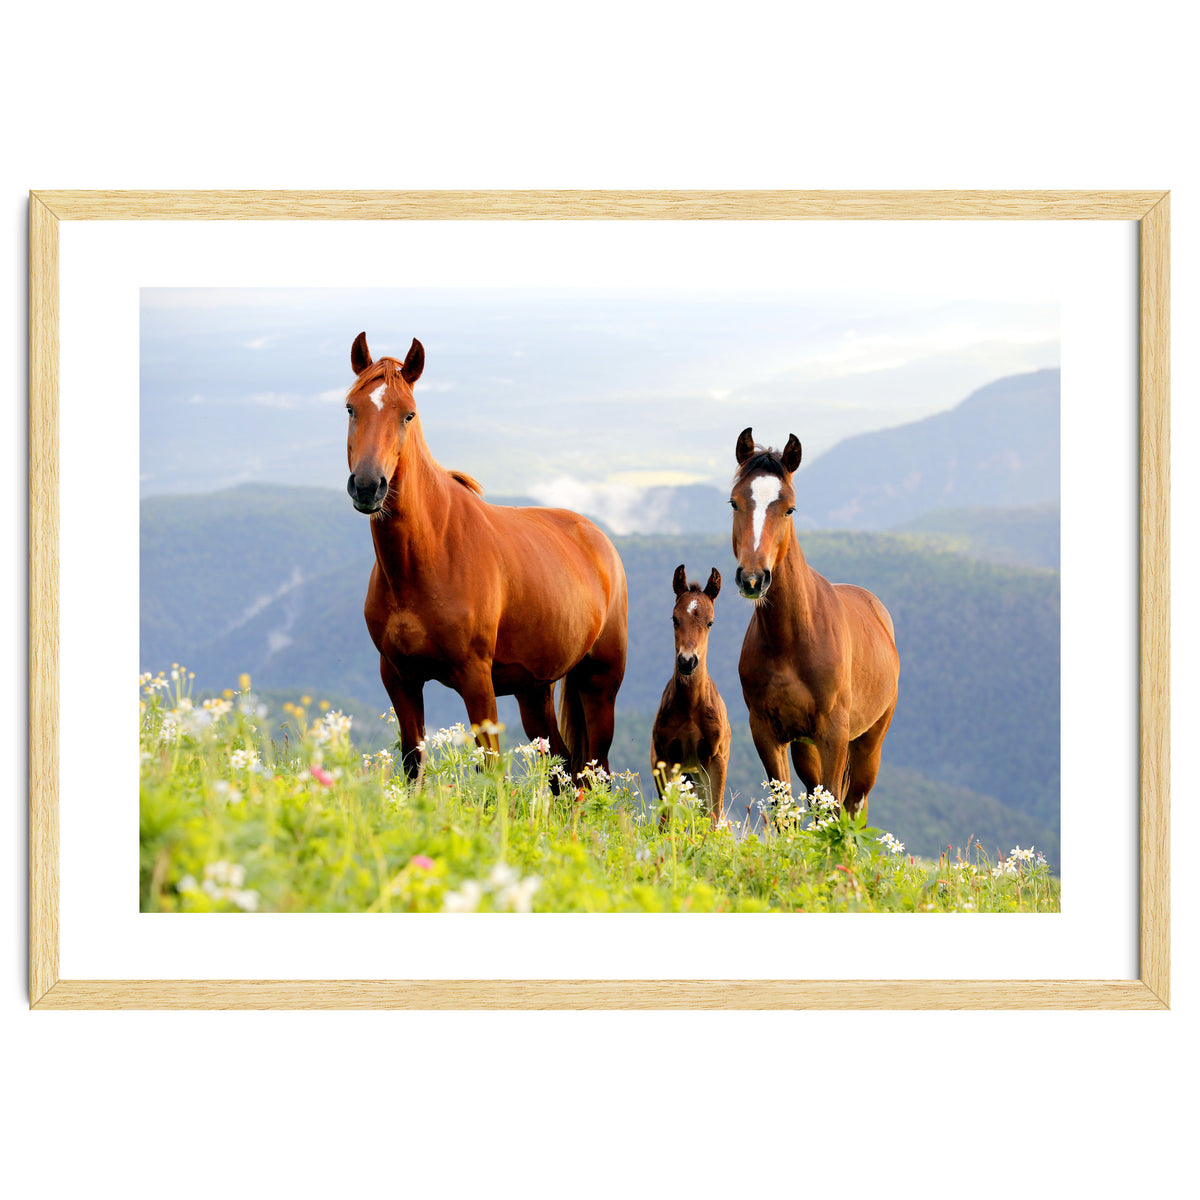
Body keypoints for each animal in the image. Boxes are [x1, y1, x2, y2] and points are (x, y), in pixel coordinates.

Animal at [344, 332, 628, 780]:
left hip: (599, 683)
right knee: (562, 767)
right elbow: (412, 763)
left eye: (408, 415)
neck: (427, 558)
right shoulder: (399, 676)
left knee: (592, 772)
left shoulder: (476, 678)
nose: (369, 486)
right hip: (534, 691)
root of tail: (600, 541)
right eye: (351, 408)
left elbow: (491, 769)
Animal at [650, 565, 731, 824]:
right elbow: (666, 818)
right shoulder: (665, 758)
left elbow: (714, 816)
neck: (690, 707)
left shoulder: (715, 759)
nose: (687, 661)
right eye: (675, 619)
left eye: (710, 622)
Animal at [730, 427, 899, 820]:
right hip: (805, 748)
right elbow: (784, 810)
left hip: (868, 742)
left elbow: (836, 807)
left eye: (789, 508)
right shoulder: (767, 732)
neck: (791, 639)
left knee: (854, 804)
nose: (752, 579)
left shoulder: (833, 734)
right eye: (734, 503)